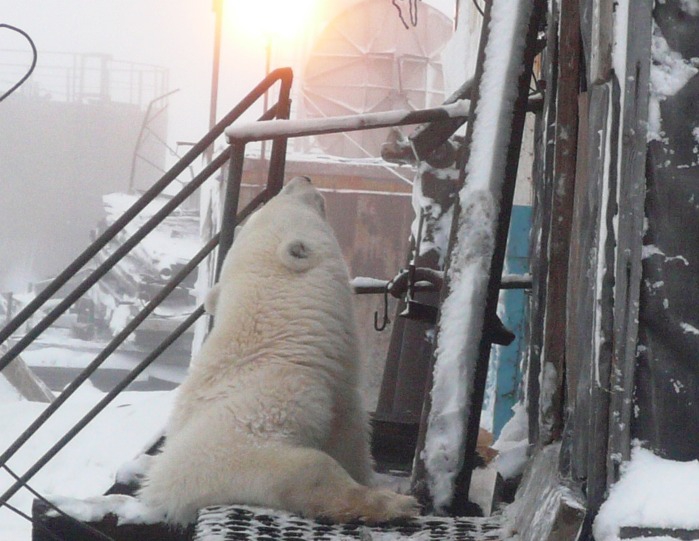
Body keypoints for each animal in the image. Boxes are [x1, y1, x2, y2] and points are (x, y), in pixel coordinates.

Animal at [139, 176, 418, 524]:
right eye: (284, 199)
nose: (302, 178)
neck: (281, 341)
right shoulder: (270, 403)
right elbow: (328, 449)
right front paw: (387, 496)